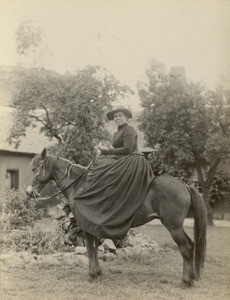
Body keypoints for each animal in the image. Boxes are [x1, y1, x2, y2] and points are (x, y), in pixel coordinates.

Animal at [26, 149, 208, 288]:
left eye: (36, 169)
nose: (28, 192)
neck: (80, 185)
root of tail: (184, 185)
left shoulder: (85, 226)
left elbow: (90, 249)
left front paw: (92, 274)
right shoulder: (91, 227)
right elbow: (94, 249)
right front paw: (98, 273)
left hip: (173, 226)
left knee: (185, 248)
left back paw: (185, 281)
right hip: (176, 227)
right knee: (191, 245)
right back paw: (191, 278)